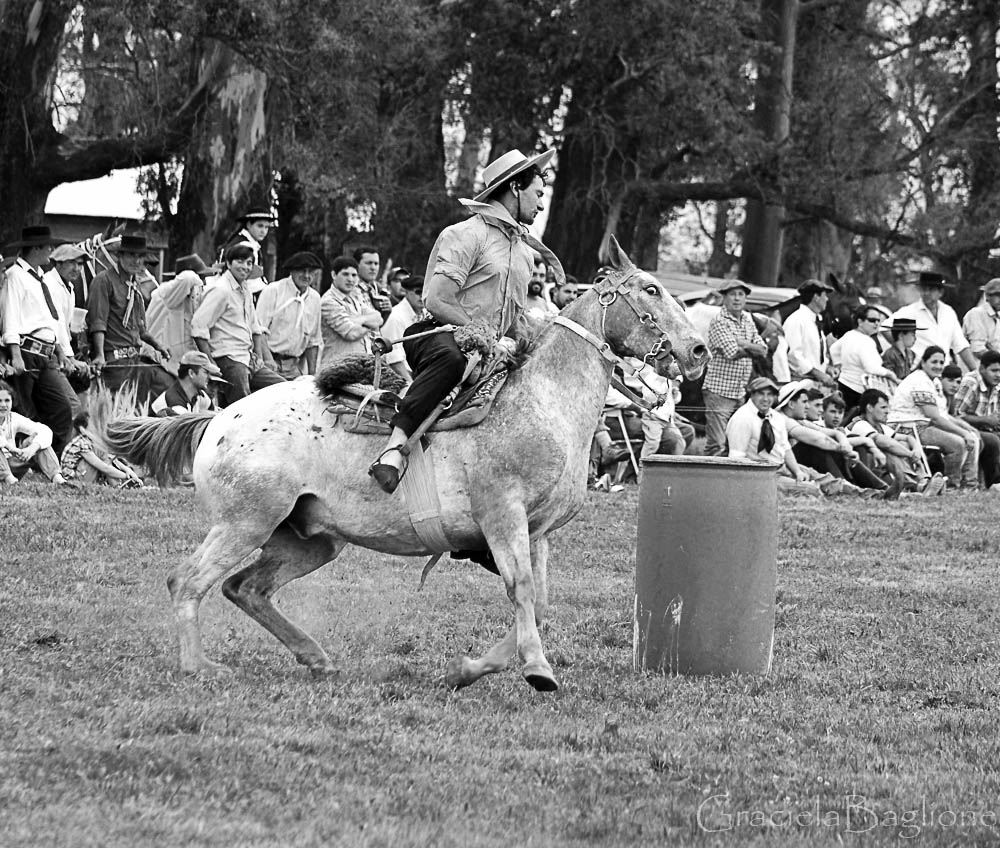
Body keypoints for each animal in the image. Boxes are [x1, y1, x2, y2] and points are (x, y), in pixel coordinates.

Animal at [103, 235, 712, 692]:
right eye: (651, 289)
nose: (700, 351)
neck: (543, 400)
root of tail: (220, 417)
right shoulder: (503, 517)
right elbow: (520, 591)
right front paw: (538, 671)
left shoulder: (536, 531)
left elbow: (537, 603)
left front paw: (468, 670)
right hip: (244, 522)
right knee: (188, 581)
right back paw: (198, 666)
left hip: (308, 539)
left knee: (246, 588)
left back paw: (316, 657)